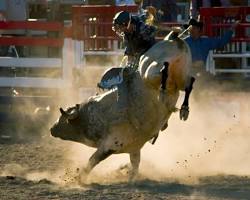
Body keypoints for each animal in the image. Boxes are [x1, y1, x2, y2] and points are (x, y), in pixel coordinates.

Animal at [50, 33, 195, 181]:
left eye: (64, 117)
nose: (52, 129)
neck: (99, 114)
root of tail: (172, 37)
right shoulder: (134, 148)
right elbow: (135, 164)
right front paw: (129, 176)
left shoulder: (109, 145)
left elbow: (92, 161)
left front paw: (79, 178)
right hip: (182, 74)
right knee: (189, 83)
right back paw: (183, 108)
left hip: (150, 71)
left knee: (164, 70)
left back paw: (164, 90)